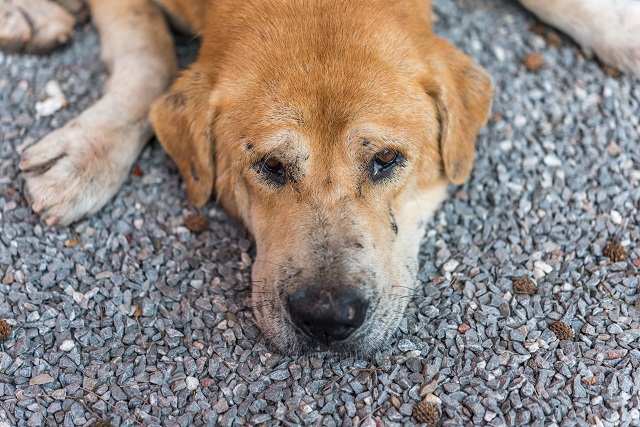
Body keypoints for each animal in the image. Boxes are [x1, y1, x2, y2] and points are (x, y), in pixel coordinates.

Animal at [2, 0, 636, 354]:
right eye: (270, 166)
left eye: (386, 160)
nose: (328, 318)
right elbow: (150, 51)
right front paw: (90, 150)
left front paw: (620, 28)